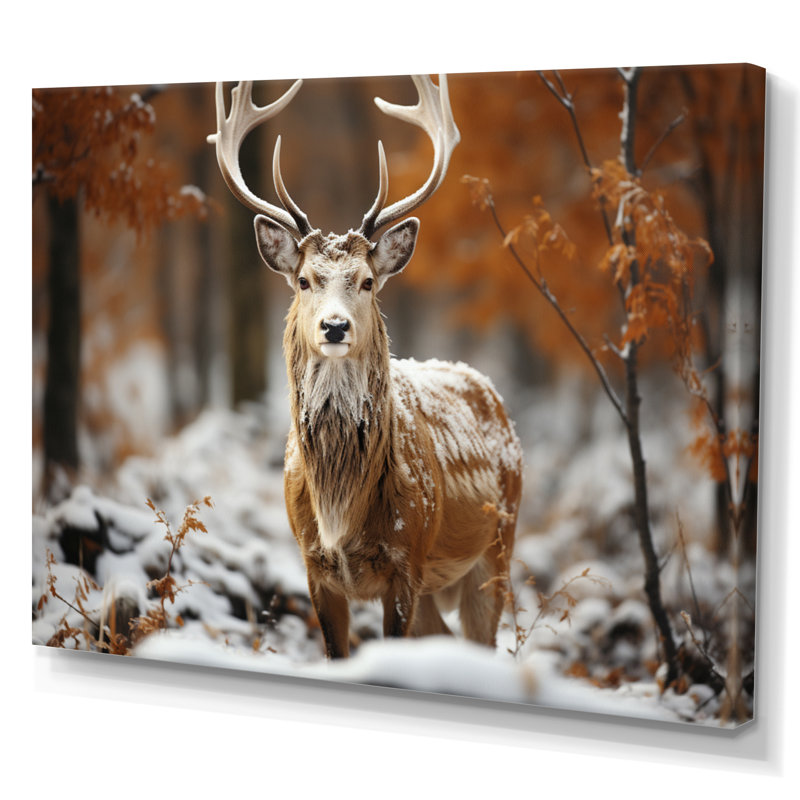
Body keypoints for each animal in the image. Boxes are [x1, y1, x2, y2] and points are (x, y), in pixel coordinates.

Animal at [209, 75, 523, 658]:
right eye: (304, 279)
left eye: (369, 281)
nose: (334, 327)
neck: (341, 513)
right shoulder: (313, 565)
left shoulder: (407, 560)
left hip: (498, 544)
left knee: (482, 639)